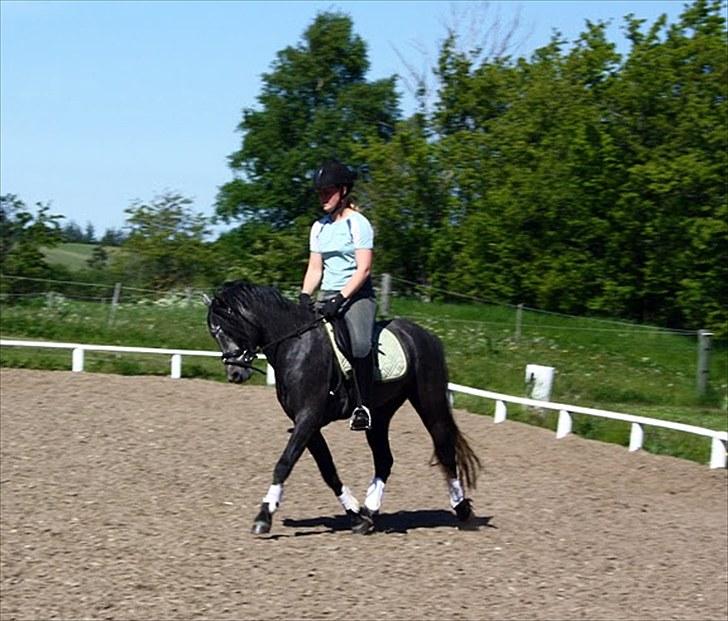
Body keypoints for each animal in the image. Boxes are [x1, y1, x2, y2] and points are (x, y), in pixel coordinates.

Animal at [204, 281, 482, 535]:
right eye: (214, 334)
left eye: (231, 328)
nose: (235, 374)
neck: (295, 345)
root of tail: (427, 335)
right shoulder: (307, 424)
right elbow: (327, 469)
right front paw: (355, 514)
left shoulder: (308, 417)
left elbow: (284, 463)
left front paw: (264, 515)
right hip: (379, 414)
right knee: (384, 459)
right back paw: (370, 512)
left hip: (430, 401)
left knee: (444, 448)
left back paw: (462, 510)